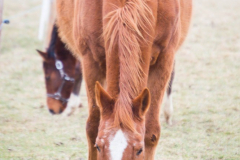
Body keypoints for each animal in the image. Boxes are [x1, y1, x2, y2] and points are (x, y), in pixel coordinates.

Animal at [55, 0, 191, 159]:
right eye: (98, 146)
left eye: (139, 149)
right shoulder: (90, 59)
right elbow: (93, 127)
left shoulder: (165, 57)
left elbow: (151, 132)